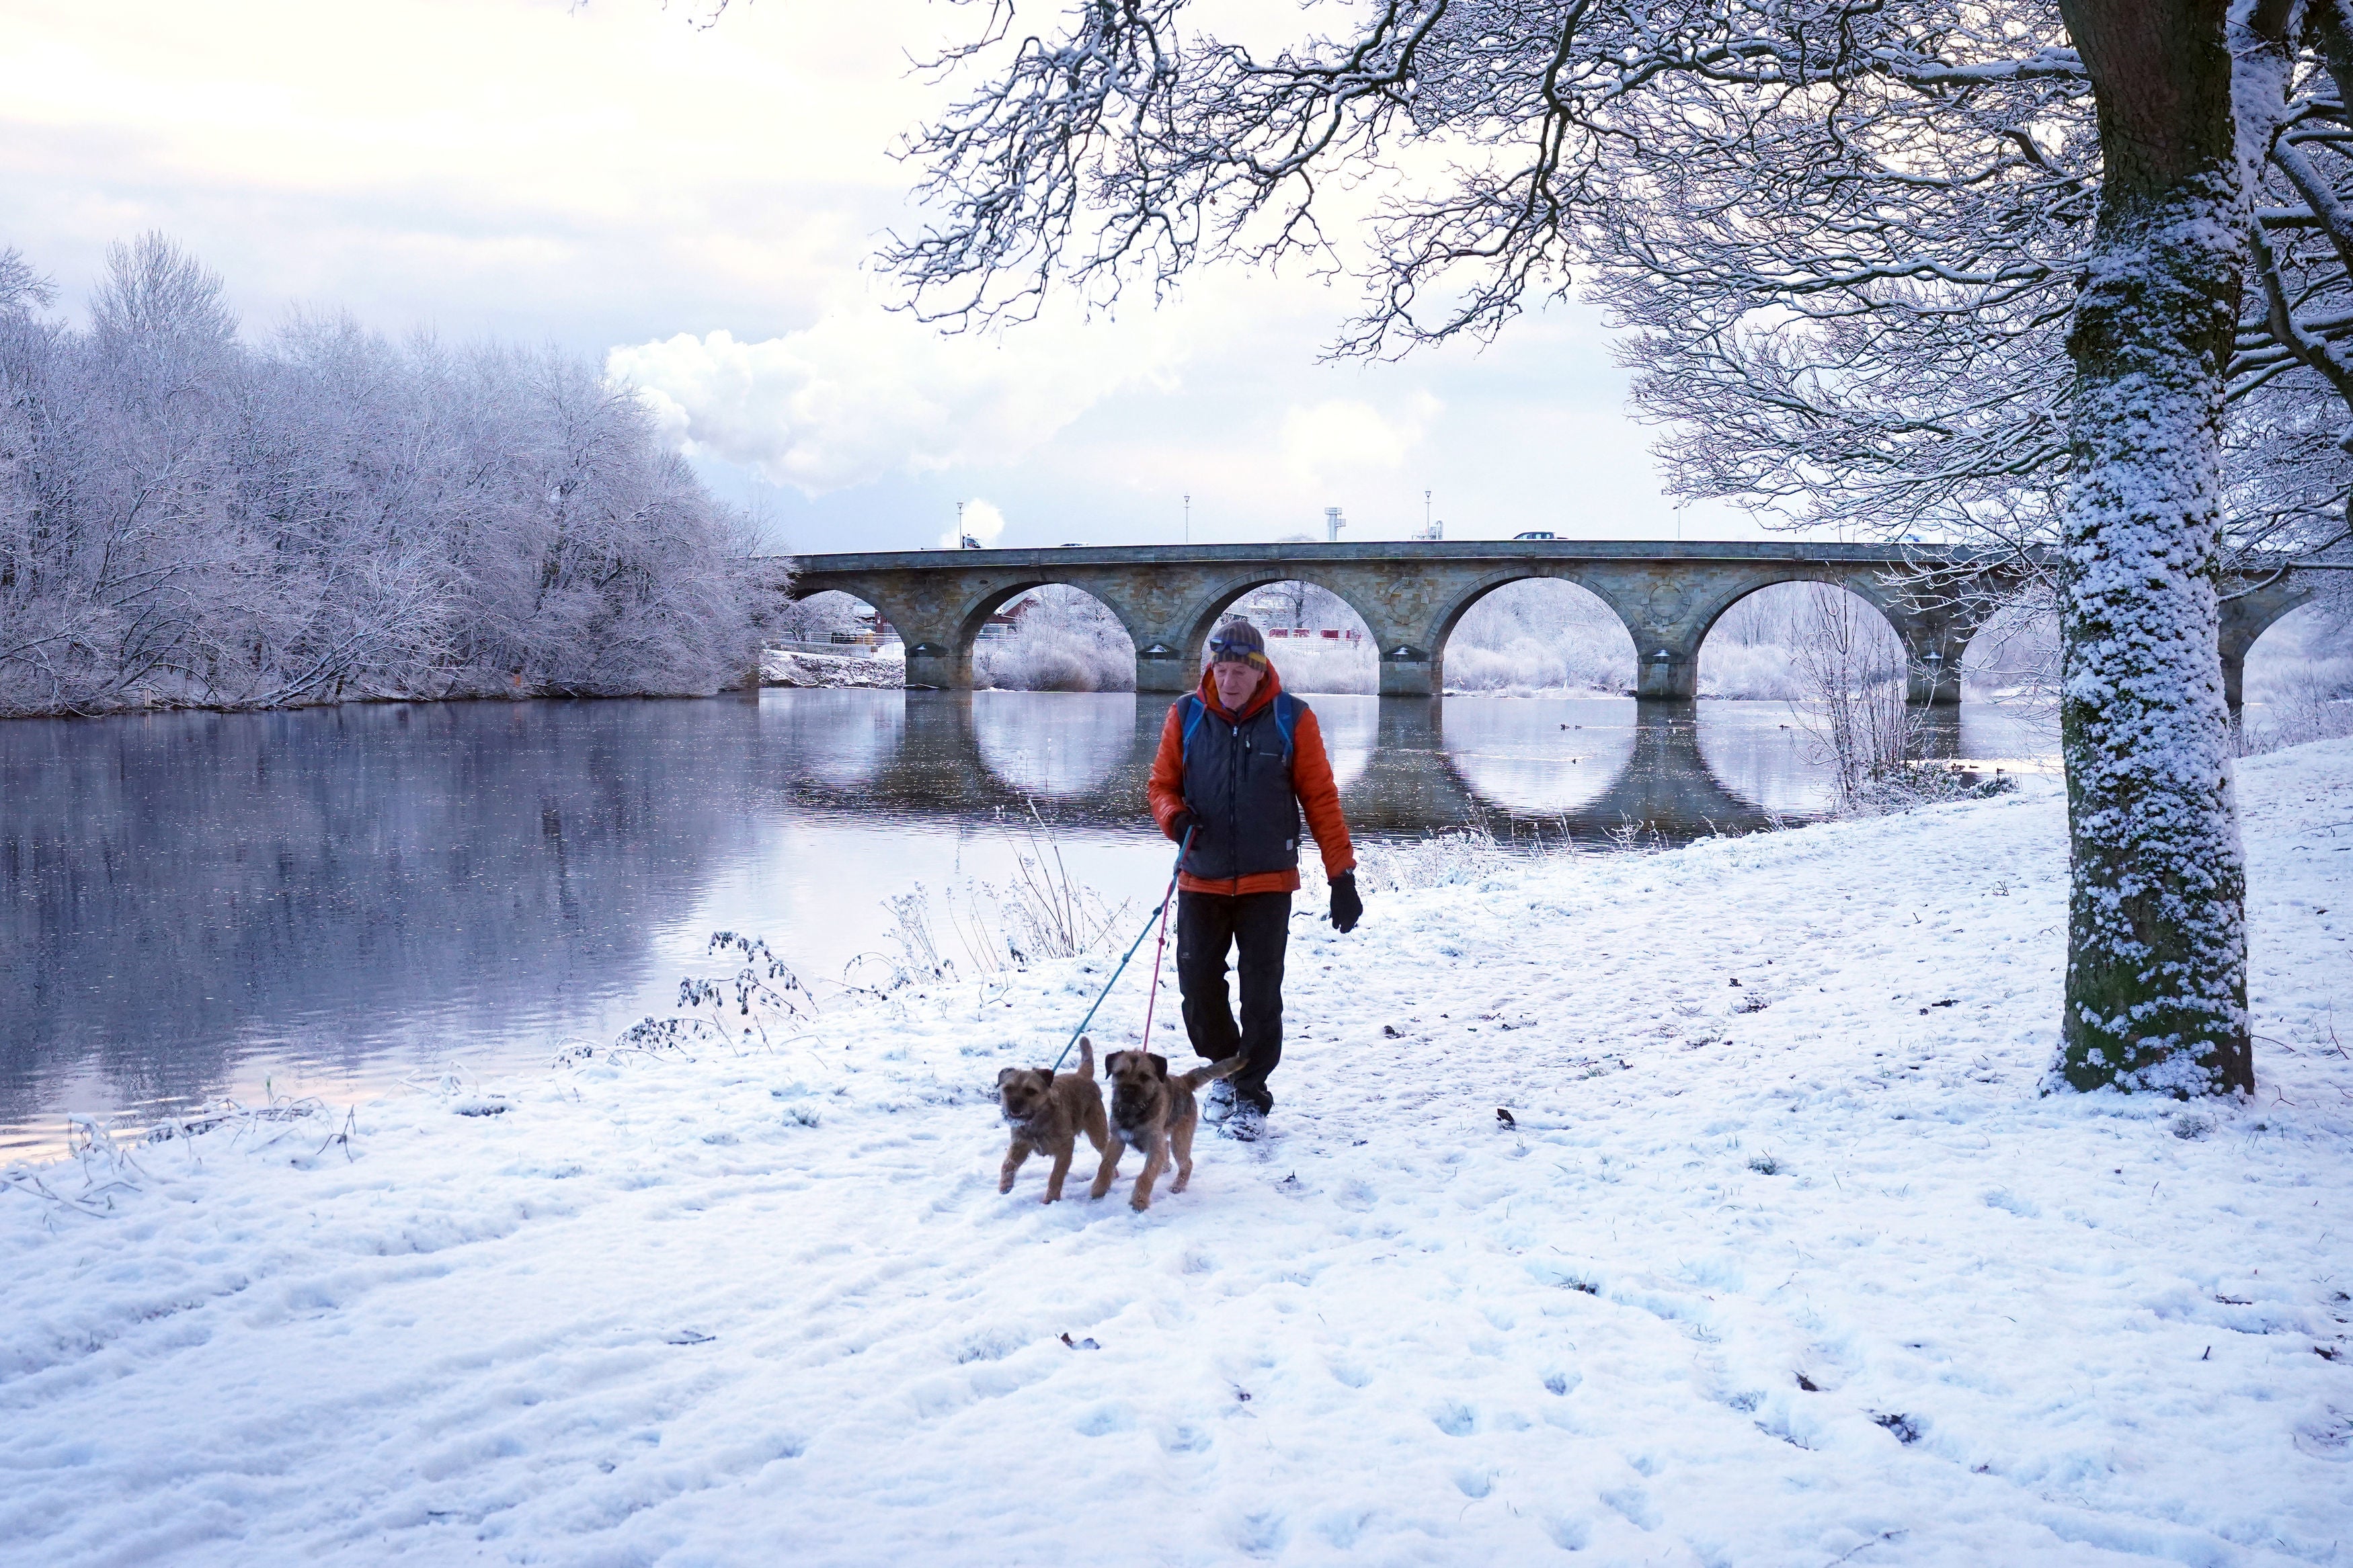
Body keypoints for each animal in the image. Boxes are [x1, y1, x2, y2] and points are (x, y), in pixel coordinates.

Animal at [988, 1034, 1106, 1212]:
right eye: (1007, 1089)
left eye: (1031, 1091)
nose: (1014, 1104)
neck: (1037, 1121)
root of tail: (1083, 1076)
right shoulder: (1020, 1145)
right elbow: (1008, 1164)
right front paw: (1005, 1185)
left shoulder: (1066, 1147)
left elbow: (1056, 1174)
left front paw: (1051, 1199)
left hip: (1097, 1134)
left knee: (1106, 1152)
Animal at [1087, 1053, 1252, 1212]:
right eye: (1120, 1073)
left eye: (1144, 1077)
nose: (1128, 1091)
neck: (1134, 1112)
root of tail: (1184, 1081)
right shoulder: (1117, 1139)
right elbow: (1105, 1165)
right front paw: (1098, 1190)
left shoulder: (1154, 1145)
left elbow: (1146, 1175)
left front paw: (1139, 1202)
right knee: (1166, 1146)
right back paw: (1166, 1168)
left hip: (1180, 1139)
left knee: (1187, 1163)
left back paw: (1178, 1185)